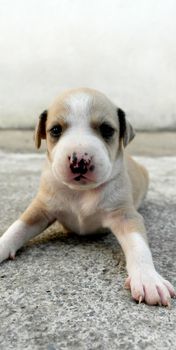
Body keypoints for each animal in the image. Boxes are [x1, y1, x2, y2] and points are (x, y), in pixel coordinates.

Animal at [0, 89, 175, 304]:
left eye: (107, 130)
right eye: (55, 130)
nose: (79, 161)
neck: (80, 192)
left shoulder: (125, 216)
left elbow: (138, 245)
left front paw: (148, 279)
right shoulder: (40, 208)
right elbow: (17, 228)